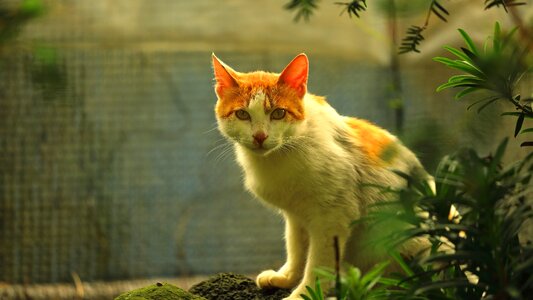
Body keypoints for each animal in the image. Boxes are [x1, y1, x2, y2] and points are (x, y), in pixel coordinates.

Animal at [210, 52, 430, 298]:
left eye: (278, 113)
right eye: (242, 114)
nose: (259, 136)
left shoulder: (333, 217)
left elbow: (319, 263)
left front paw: (304, 294)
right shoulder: (295, 216)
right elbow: (296, 248)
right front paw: (286, 277)